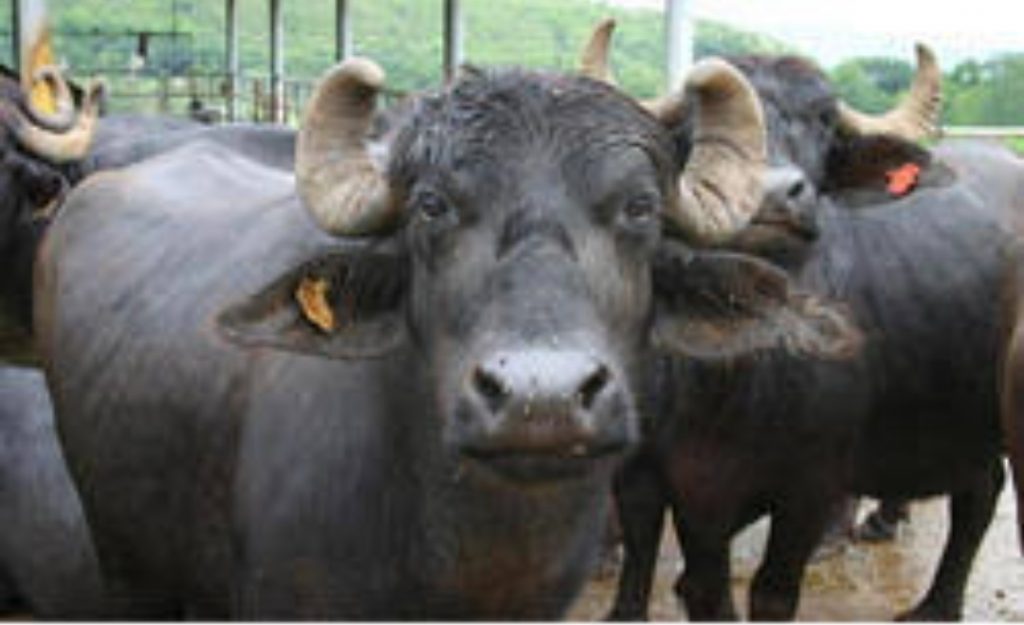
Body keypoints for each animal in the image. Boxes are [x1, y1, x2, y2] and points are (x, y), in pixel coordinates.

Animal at [587, 22, 1024, 621]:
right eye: (699, 124)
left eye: (822, 118)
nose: (774, 195)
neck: (741, 374)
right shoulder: (673, 481)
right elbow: (690, 580)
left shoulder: (810, 488)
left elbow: (771, 592)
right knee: (981, 481)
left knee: (980, 494)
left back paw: (930, 598)